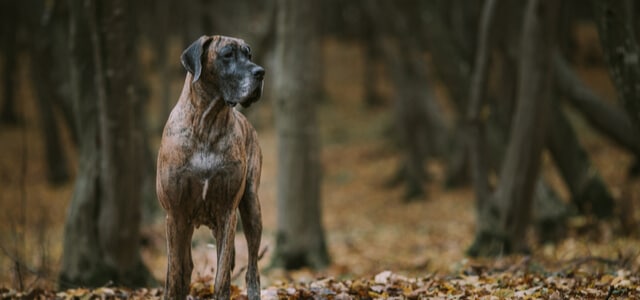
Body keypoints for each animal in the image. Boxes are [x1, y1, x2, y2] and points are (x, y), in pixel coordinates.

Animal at [158, 35, 264, 300]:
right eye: (227, 55)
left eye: (248, 55)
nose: (261, 72)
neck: (207, 122)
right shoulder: (175, 214)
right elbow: (175, 274)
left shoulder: (227, 211)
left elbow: (222, 276)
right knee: (185, 267)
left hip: (251, 207)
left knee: (252, 269)